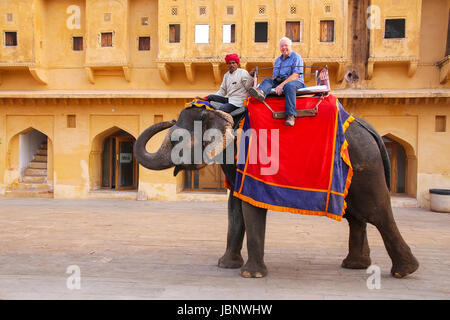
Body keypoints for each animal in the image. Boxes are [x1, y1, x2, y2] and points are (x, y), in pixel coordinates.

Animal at [134, 105, 418, 278]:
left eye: (174, 140)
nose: (166, 119)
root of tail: (371, 130)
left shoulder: (251, 158)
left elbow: (249, 206)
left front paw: (251, 274)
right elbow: (234, 208)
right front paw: (225, 265)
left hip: (365, 165)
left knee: (376, 213)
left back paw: (404, 271)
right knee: (355, 216)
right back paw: (354, 266)